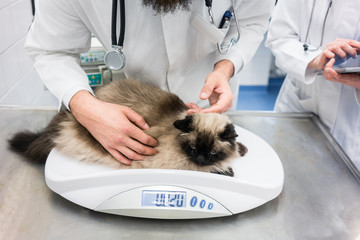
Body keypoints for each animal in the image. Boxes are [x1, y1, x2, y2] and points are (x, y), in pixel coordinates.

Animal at [8, 79, 246, 176]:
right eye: (194, 150)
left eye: (212, 152)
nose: (201, 159)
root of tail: (68, 115)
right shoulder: (177, 163)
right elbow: (214, 170)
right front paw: (227, 170)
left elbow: (238, 148)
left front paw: (241, 151)